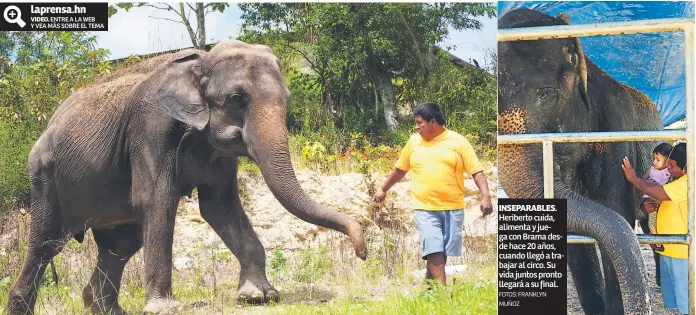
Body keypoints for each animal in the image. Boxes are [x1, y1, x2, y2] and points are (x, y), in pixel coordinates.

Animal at [6, 40, 370, 315]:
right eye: (237, 99)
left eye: (288, 100)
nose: (363, 252)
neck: (200, 61)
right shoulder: (150, 130)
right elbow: (158, 202)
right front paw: (165, 309)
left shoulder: (217, 154)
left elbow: (220, 208)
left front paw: (259, 296)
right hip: (45, 178)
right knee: (46, 244)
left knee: (120, 245)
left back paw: (108, 310)